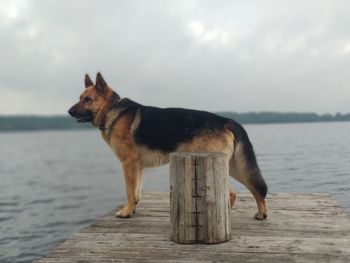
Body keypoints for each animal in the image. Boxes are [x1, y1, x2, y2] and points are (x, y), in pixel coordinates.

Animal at [68, 73, 268, 220]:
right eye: (80, 98)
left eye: (88, 99)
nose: (69, 112)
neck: (112, 110)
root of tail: (226, 120)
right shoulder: (138, 167)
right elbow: (136, 191)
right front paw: (133, 209)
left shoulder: (128, 164)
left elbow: (129, 192)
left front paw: (126, 211)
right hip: (232, 166)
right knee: (253, 189)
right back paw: (258, 213)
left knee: (236, 192)